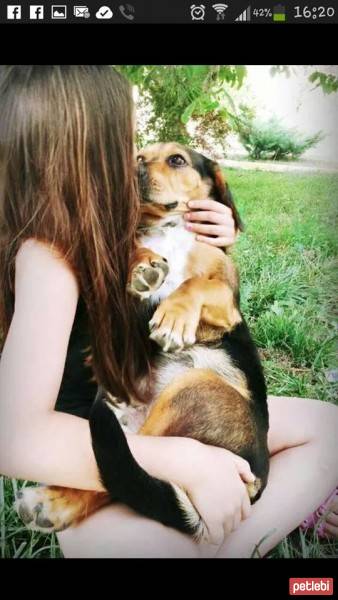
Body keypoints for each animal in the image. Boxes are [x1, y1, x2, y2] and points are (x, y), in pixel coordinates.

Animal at [14, 143, 270, 540]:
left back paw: (55, 503)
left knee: (128, 474)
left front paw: (174, 316)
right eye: (139, 156)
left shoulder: (228, 302)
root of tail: (256, 479)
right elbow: (136, 255)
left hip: (194, 389)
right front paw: (144, 265)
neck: (170, 228)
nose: (132, 170)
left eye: (177, 159)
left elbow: (195, 283)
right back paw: (55, 504)